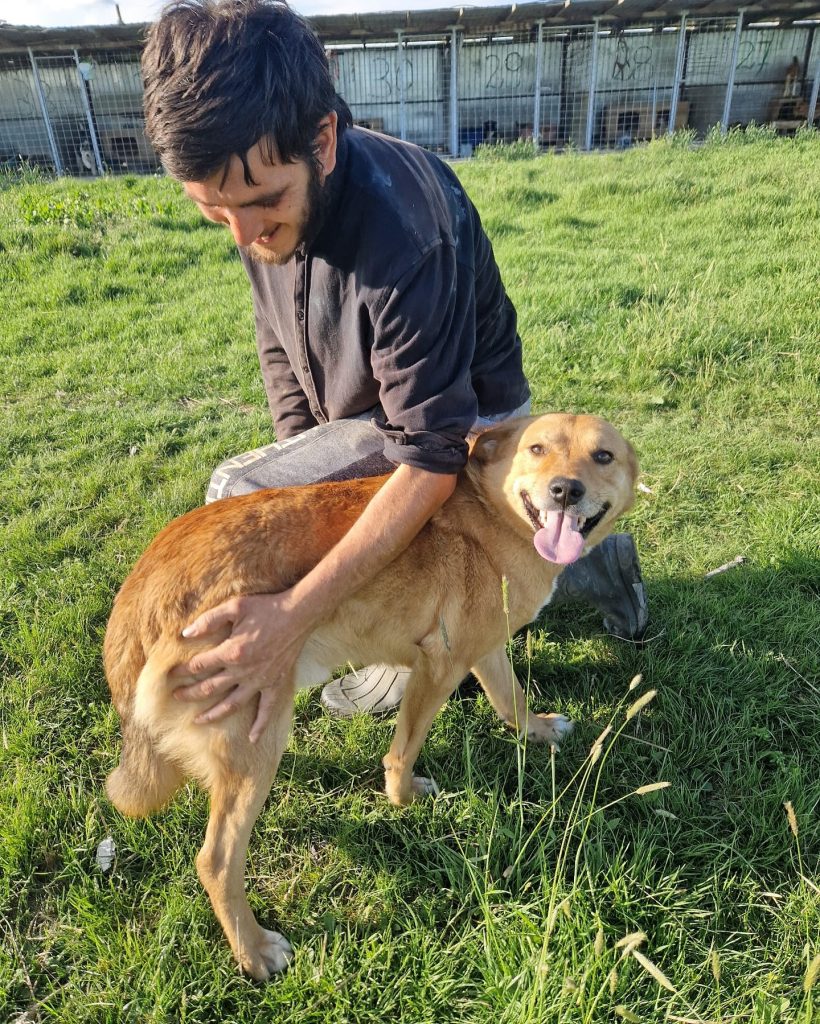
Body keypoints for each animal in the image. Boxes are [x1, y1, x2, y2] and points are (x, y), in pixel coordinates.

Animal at [103, 413, 638, 974]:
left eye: (603, 456)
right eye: (537, 449)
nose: (565, 490)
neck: (493, 515)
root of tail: (142, 591)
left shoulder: (485, 650)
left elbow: (511, 699)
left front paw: (538, 731)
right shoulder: (438, 665)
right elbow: (403, 751)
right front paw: (404, 799)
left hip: (255, 734)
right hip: (252, 736)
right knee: (216, 859)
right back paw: (254, 949)